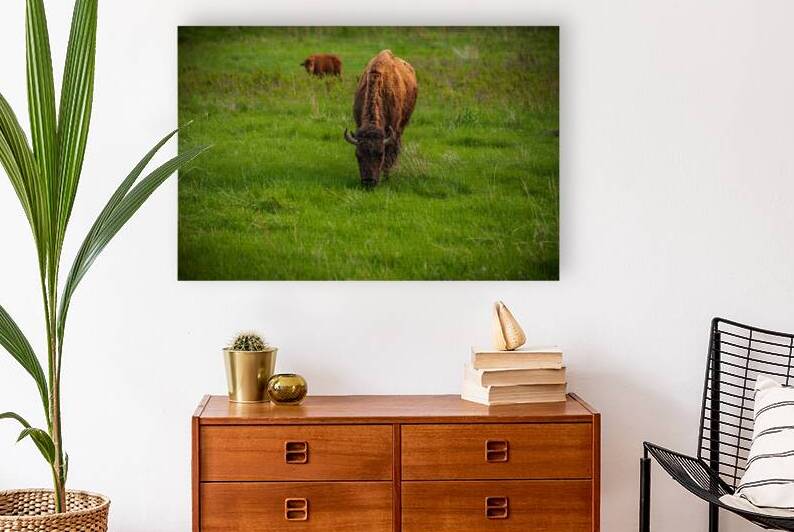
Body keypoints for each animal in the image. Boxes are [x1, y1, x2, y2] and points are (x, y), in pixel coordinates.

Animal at [344, 50, 417, 186]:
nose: (368, 182)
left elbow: (390, 152)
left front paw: (386, 176)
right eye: (358, 155)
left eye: (380, 154)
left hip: (402, 125)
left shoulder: (392, 129)